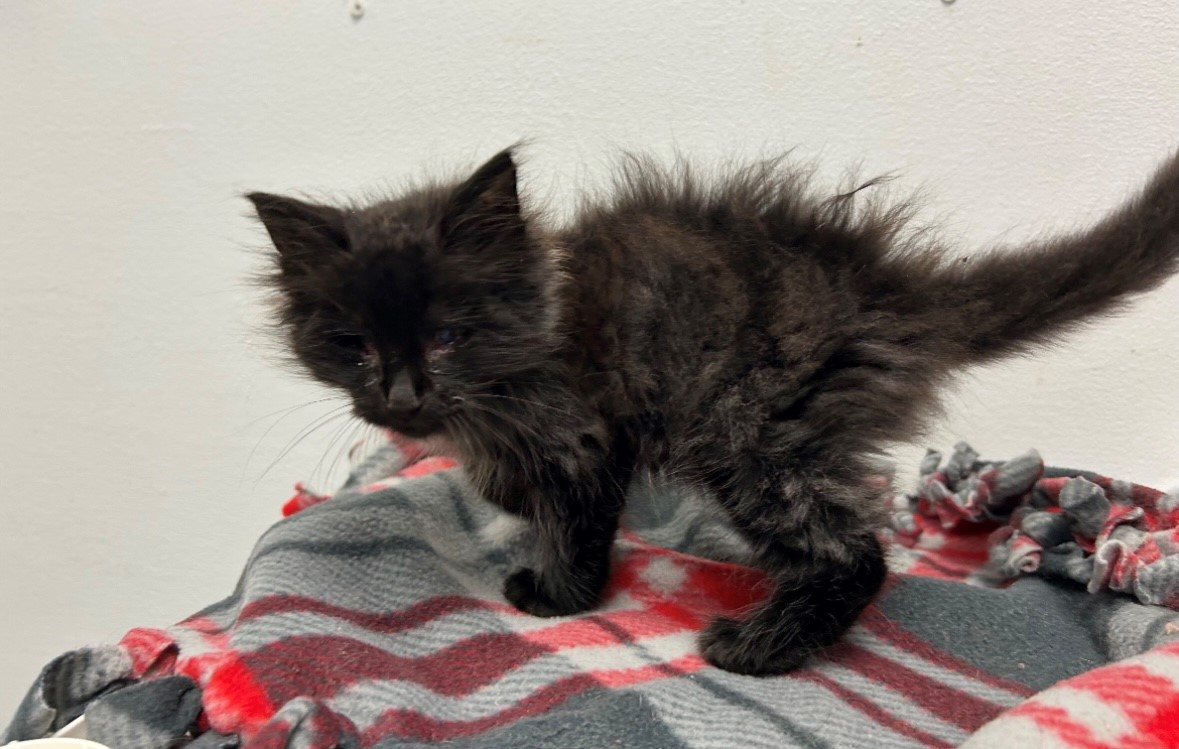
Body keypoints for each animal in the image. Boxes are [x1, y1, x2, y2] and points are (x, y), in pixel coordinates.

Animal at [248, 145, 1179, 675]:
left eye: (448, 336)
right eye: (353, 346)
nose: (401, 396)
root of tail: (888, 288)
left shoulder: (586, 434)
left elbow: (572, 518)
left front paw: (556, 595)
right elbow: (506, 485)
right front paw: (507, 499)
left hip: (750, 435)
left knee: (853, 552)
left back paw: (756, 650)